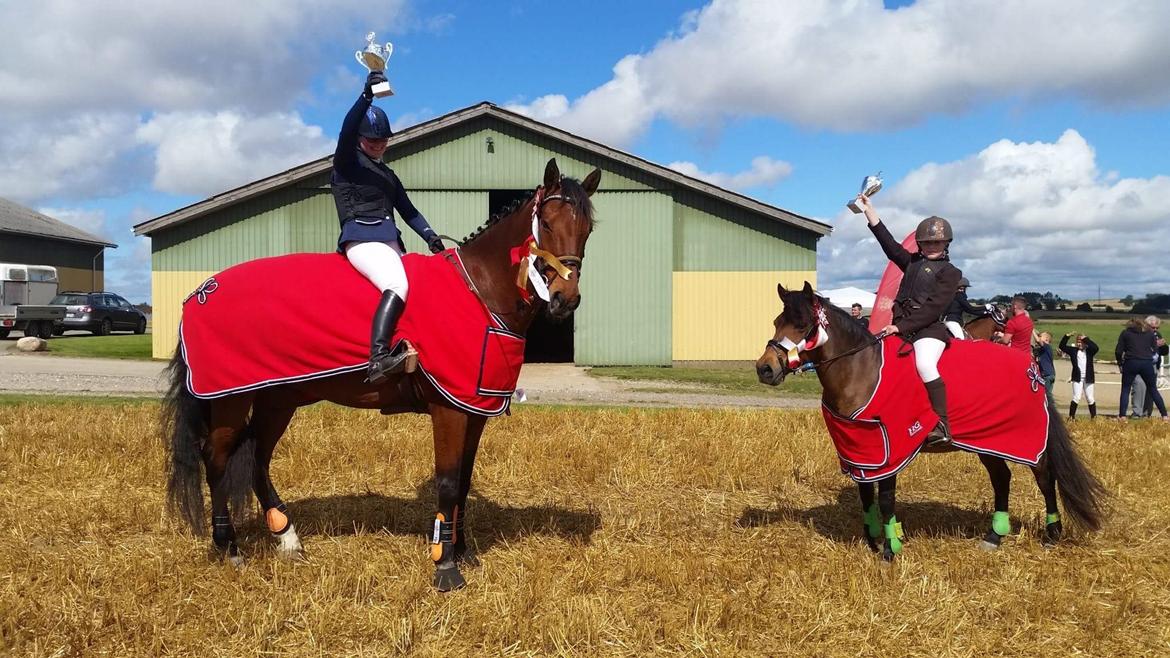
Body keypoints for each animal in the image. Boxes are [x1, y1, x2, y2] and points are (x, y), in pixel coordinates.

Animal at [162, 159, 603, 590]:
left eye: (587, 229)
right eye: (547, 224)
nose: (566, 299)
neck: (479, 291)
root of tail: (200, 292)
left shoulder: (473, 410)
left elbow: (462, 481)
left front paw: (462, 551)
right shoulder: (449, 409)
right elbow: (447, 482)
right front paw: (445, 566)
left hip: (277, 398)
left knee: (257, 458)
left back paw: (287, 538)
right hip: (231, 400)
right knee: (216, 458)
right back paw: (229, 548)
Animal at [753, 282, 1099, 557]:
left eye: (802, 324)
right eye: (776, 321)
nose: (765, 368)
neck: (862, 368)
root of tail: (1031, 369)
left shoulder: (890, 449)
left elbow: (887, 498)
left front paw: (890, 549)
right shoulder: (863, 450)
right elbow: (866, 496)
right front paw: (872, 540)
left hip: (1026, 439)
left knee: (1045, 478)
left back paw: (1052, 534)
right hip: (989, 441)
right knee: (1001, 478)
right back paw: (993, 536)